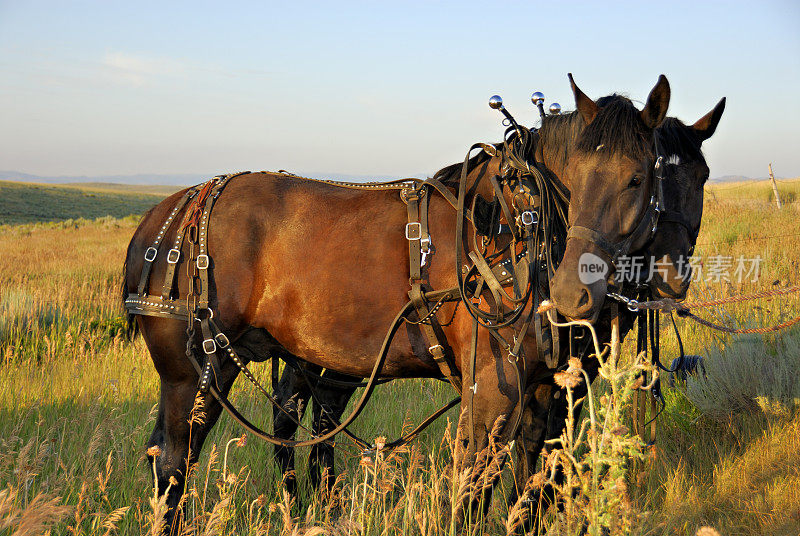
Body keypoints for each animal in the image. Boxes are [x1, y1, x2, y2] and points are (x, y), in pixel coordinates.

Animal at [125, 73, 672, 528]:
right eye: (575, 177)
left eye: (637, 178)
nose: (573, 294)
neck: (521, 223)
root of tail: (171, 211)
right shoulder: (493, 393)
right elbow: (473, 492)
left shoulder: (546, 392)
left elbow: (531, 487)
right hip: (196, 372)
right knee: (173, 462)